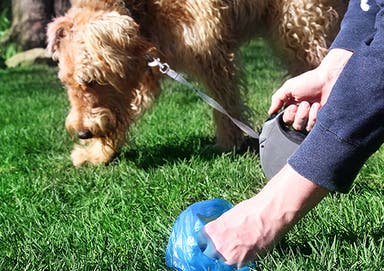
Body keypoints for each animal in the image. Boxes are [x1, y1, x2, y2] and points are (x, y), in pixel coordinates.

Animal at [46, 0, 346, 167]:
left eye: (91, 80)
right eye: (66, 82)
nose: (82, 133)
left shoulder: (209, 48)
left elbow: (225, 102)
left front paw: (228, 143)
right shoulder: (147, 66)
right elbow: (123, 115)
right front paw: (97, 155)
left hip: (299, 26)